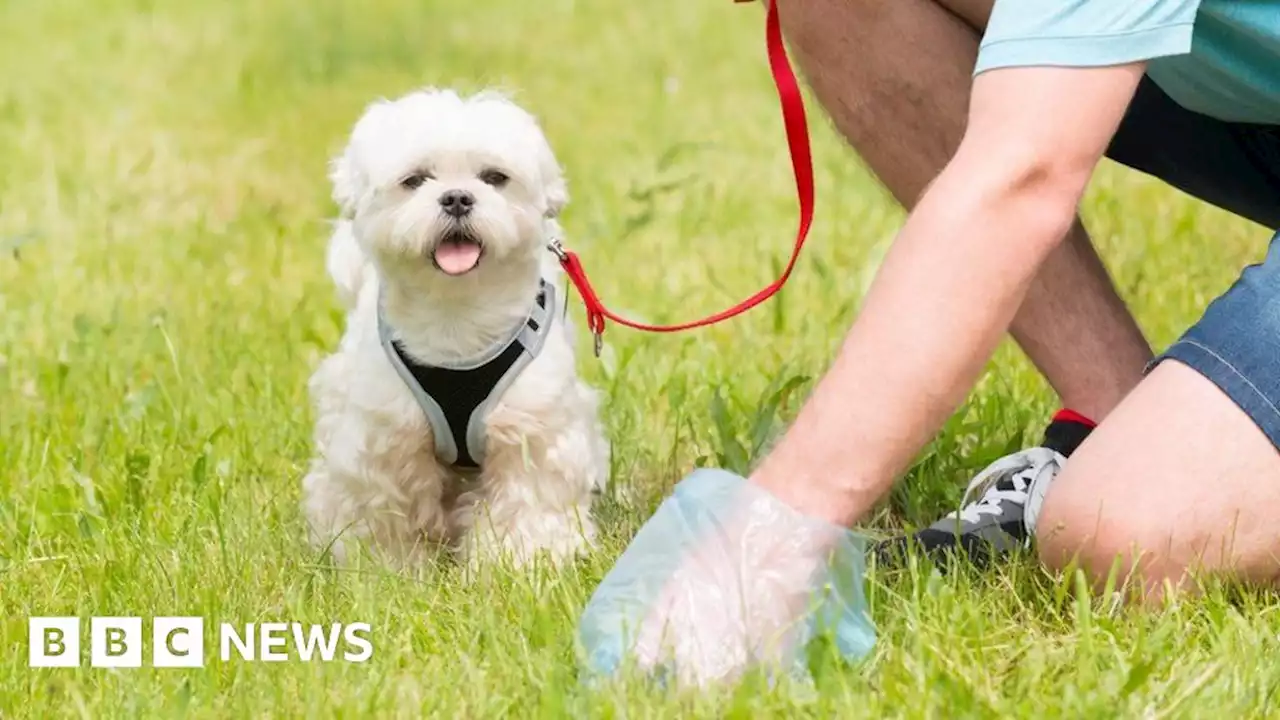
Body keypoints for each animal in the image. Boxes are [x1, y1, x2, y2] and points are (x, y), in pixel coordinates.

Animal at [299, 88, 609, 566]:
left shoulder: (532, 427)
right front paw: (390, 568)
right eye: (415, 180)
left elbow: (526, 501)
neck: (456, 320)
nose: (458, 197)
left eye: (494, 177)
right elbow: (387, 509)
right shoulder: (387, 437)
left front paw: (521, 563)